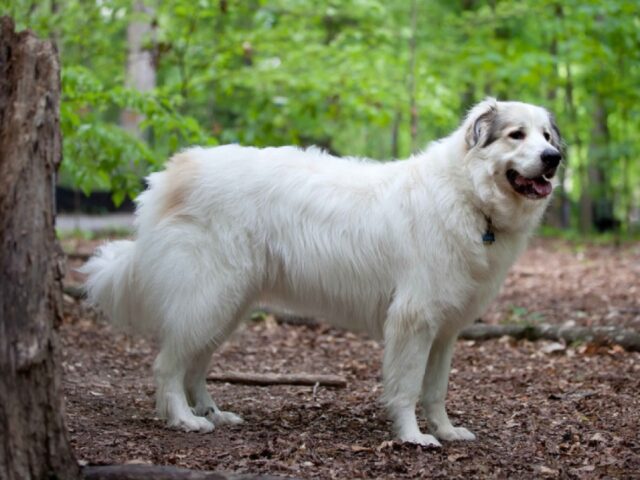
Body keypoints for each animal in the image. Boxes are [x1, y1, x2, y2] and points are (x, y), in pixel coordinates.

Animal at [84, 97, 560, 446]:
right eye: (516, 135)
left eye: (547, 135)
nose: (553, 157)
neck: (469, 196)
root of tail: (171, 173)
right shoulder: (414, 320)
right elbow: (407, 387)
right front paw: (413, 437)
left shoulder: (444, 331)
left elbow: (436, 390)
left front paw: (445, 431)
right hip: (208, 297)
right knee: (168, 366)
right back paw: (185, 420)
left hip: (226, 306)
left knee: (195, 365)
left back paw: (213, 413)